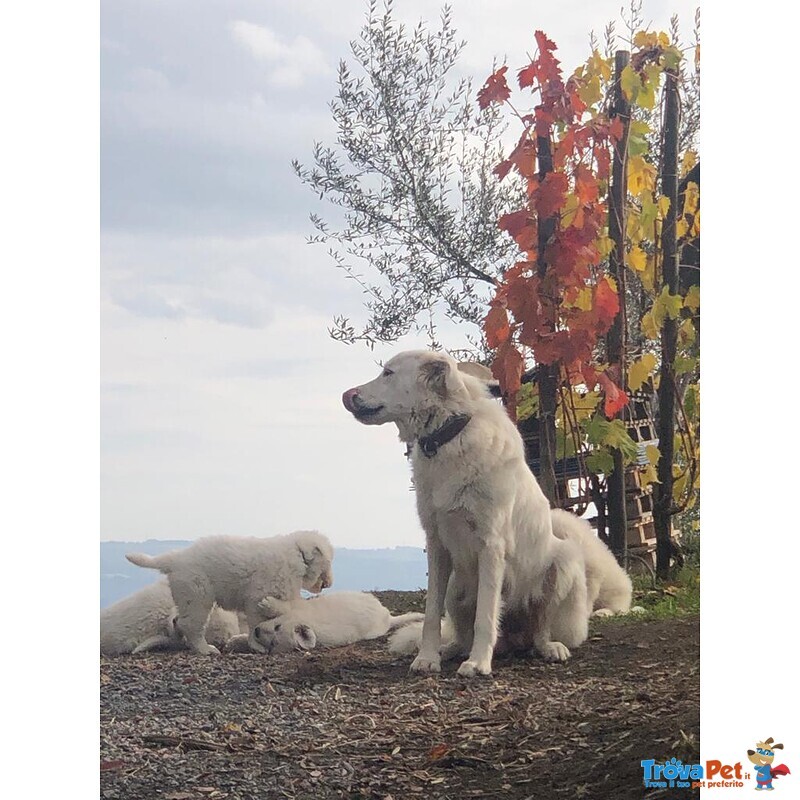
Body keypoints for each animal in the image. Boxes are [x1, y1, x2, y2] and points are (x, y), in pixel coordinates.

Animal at [126, 532, 332, 656]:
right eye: (328, 562)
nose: (329, 584)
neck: (296, 556)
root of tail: (175, 559)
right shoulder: (255, 600)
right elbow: (256, 623)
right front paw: (256, 644)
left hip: (188, 598)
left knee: (179, 621)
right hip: (198, 596)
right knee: (191, 625)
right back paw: (205, 649)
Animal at [342, 350, 588, 676]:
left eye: (389, 373)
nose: (348, 395)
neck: (448, 437)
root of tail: (514, 642)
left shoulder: (491, 545)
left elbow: (486, 615)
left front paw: (478, 663)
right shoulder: (436, 546)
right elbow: (431, 615)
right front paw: (427, 658)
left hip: (564, 560)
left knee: (540, 628)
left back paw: (549, 647)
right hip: (455, 586)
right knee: (461, 634)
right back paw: (451, 650)